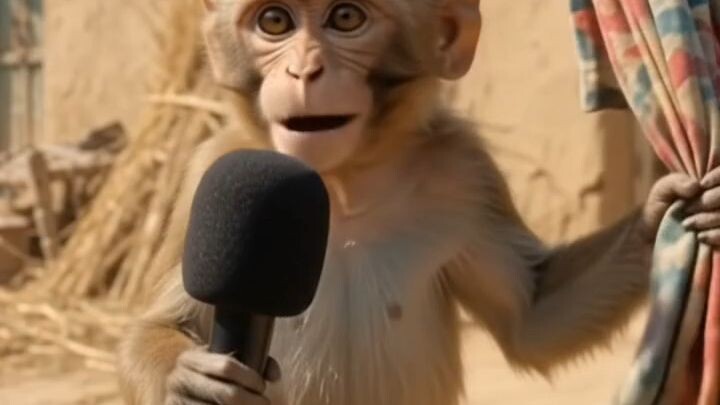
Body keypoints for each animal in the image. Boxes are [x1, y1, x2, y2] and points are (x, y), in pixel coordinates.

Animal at [117, 0, 720, 404]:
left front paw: (663, 211)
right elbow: (159, 322)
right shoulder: (211, 172)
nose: (304, 70)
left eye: (346, 18)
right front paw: (188, 377)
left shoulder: (467, 176)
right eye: (275, 22)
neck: (342, 184)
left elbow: (532, 317)